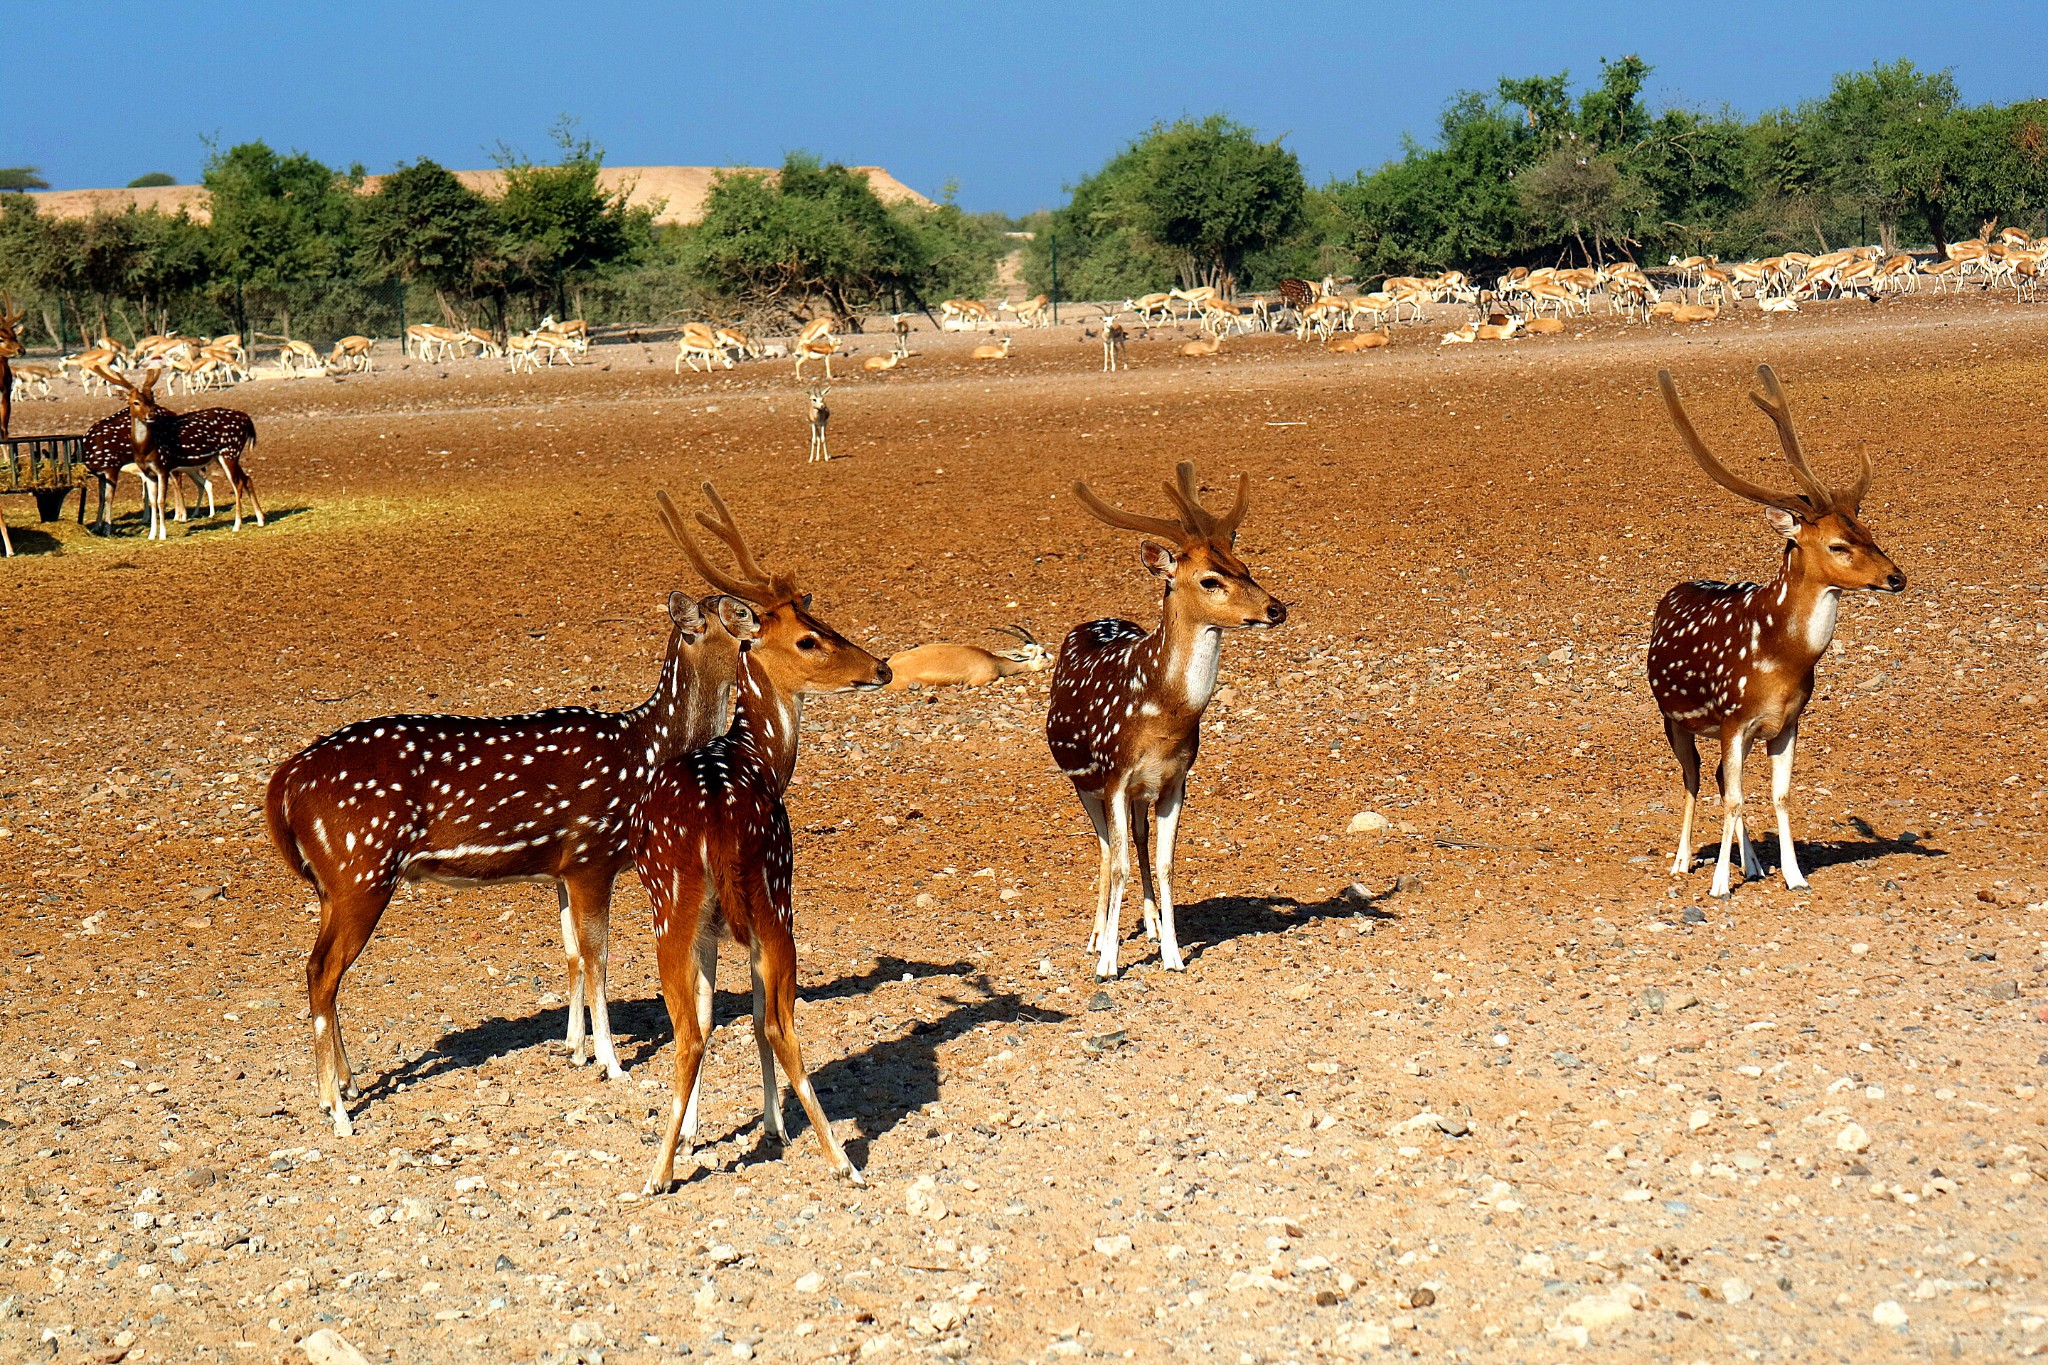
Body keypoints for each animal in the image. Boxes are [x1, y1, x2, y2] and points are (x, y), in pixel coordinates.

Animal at [264, 573, 745, 1129]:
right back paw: (337, 1110)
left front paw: (574, 1050)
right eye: (741, 613)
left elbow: (572, 953)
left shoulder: (562, 869)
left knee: (322, 970)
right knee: (321, 971)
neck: (646, 755)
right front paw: (612, 1063)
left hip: (332, 884)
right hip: (359, 870)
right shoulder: (593, 854)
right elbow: (599, 956)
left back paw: (348, 1082)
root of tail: (283, 783)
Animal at [634, 485, 892, 1186]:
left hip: (675, 909)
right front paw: (773, 1124)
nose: (882, 667)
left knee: (690, 1031)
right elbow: (750, 1015)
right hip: (773, 898)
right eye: (809, 638)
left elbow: (710, 1015)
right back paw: (843, 1161)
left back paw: (657, 1173)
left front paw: (697, 1133)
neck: (760, 758)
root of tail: (718, 826)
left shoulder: (711, 928)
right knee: (779, 1022)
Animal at [1048, 464, 1286, 978]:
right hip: (1084, 782)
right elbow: (1117, 860)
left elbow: (1166, 862)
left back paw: (1152, 925)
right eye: (1210, 580)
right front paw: (1109, 963)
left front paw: (1173, 956)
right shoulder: (1115, 774)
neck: (1162, 716)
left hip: (1141, 791)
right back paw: (1097, 938)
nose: (1276, 608)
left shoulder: (1176, 778)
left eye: (1245, 566)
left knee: (1136, 840)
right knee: (1105, 846)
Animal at [1646, 366, 1900, 896]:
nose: (1897, 578)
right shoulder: (1732, 717)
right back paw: (1682, 861)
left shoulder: (1787, 722)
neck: (1782, 659)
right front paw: (1719, 885)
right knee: (1693, 778)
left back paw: (1753, 865)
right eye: (1838, 544)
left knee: (1717, 777)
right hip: (1672, 716)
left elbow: (1780, 796)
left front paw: (1794, 876)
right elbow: (1734, 798)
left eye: (1871, 533)